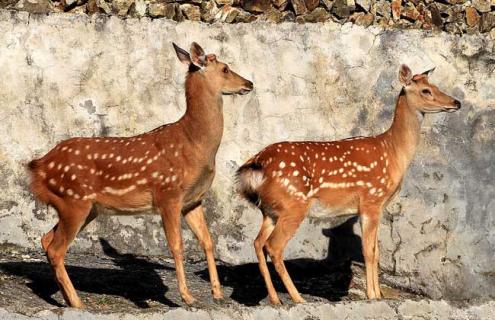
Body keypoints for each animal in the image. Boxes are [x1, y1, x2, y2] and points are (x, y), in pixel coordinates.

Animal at [30, 42, 256, 308]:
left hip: (84, 206)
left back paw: (67, 298)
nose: (249, 83)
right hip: (73, 200)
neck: (195, 145)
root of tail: (39, 167)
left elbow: (208, 241)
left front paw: (217, 293)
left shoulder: (193, 200)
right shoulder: (168, 194)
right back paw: (77, 303)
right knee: (56, 248)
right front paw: (186, 296)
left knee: (46, 239)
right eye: (225, 68)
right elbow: (177, 245)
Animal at [236, 63, 462, 304]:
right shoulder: (372, 200)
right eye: (426, 91)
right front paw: (372, 296)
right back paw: (298, 298)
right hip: (293, 205)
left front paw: (378, 294)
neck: (393, 152)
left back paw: (275, 299)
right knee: (274, 246)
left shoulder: (374, 207)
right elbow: (369, 252)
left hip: (270, 210)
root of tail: (257, 164)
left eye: (435, 86)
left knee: (258, 242)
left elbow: (376, 251)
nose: (456, 103)